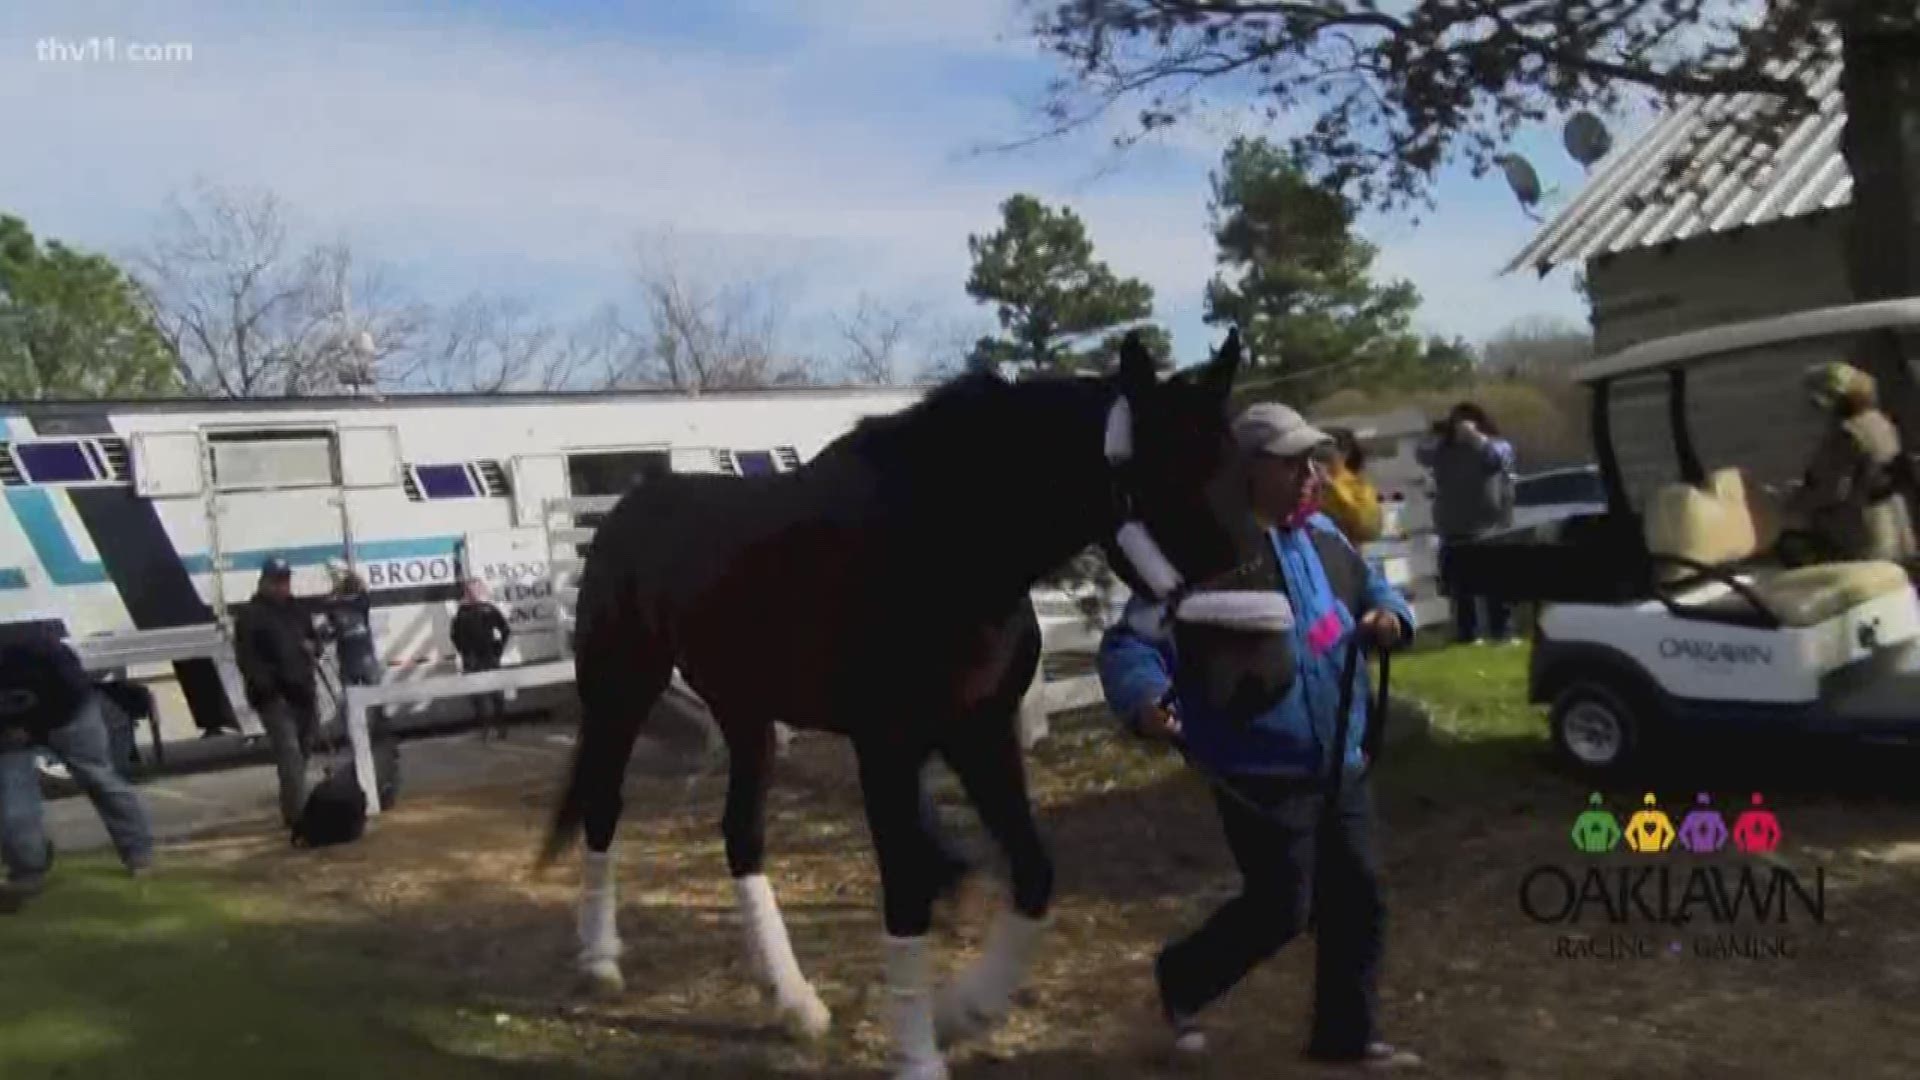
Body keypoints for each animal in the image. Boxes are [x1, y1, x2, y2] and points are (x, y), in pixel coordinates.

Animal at [533, 332, 1297, 1068]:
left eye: (1242, 477)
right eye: (1169, 485)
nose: (1267, 673)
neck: (944, 547)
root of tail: (625, 511)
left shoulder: (980, 734)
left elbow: (1033, 874)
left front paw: (965, 1011)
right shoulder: (887, 748)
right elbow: (907, 892)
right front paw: (922, 1052)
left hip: (744, 712)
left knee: (741, 836)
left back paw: (794, 1003)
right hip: (621, 693)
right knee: (604, 808)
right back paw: (601, 961)